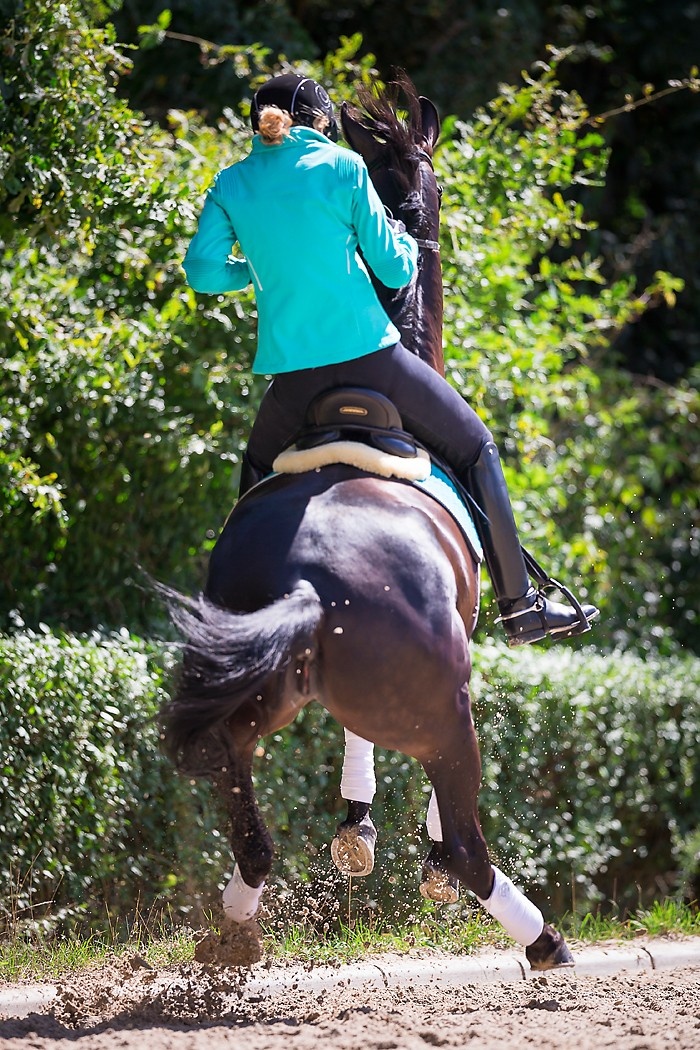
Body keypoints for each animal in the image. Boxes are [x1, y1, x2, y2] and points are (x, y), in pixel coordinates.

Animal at [162, 77, 575, 970]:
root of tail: (305, 579)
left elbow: (353, 740)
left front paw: (355, 825)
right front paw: (394, 838)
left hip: (252, 702)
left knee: (249, 827)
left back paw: (234, 934)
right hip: (437, 705)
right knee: (467, 844)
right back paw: (541, 941)